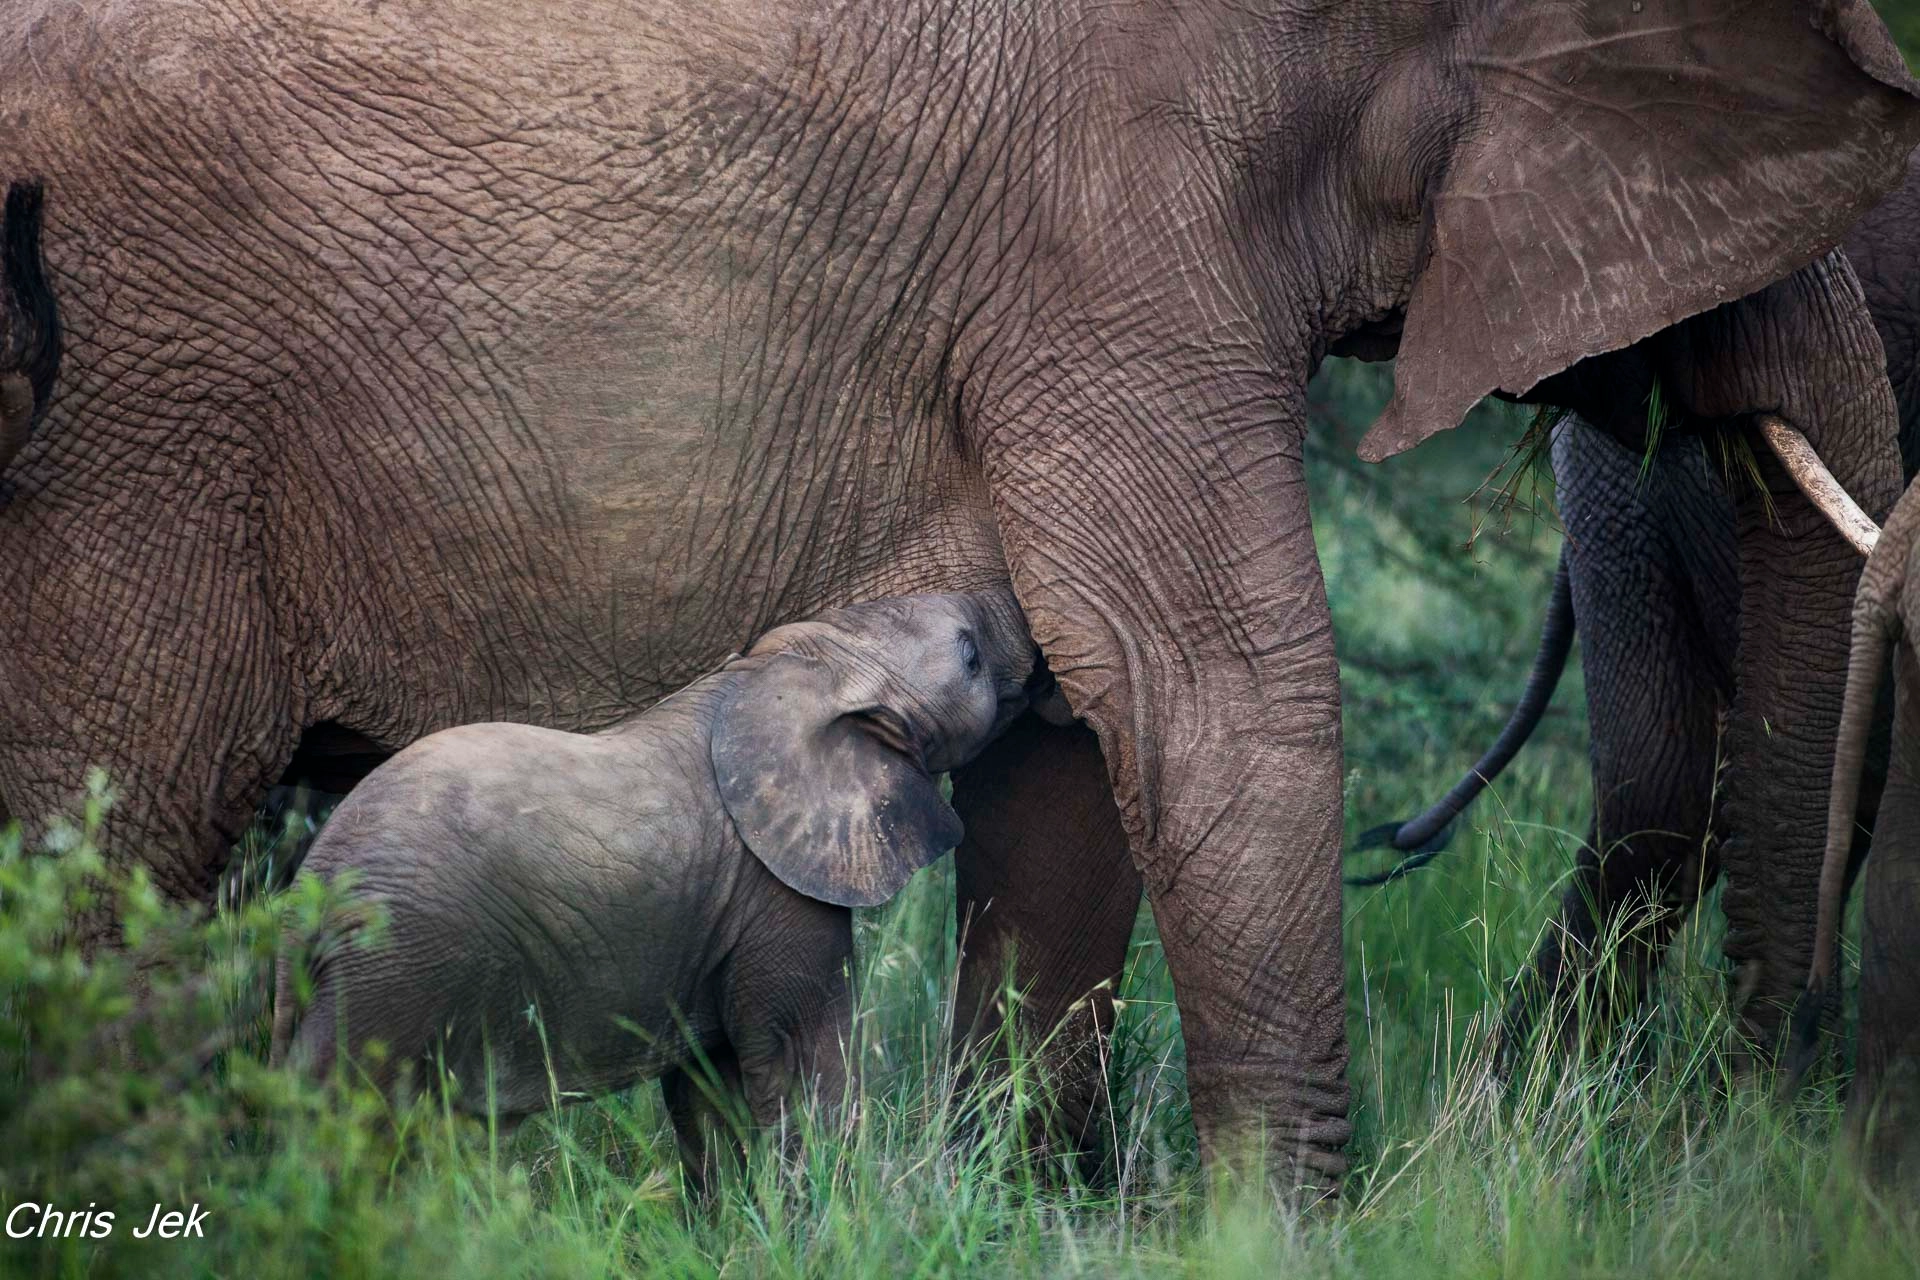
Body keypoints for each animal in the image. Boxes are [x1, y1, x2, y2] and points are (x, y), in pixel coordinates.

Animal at [272, 590, 1040, 1188]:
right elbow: (803, 1060)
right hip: (398, 969)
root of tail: (309, 895)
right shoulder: (771, 890)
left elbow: (706, 1091)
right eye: (971, 656)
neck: (782, 671)